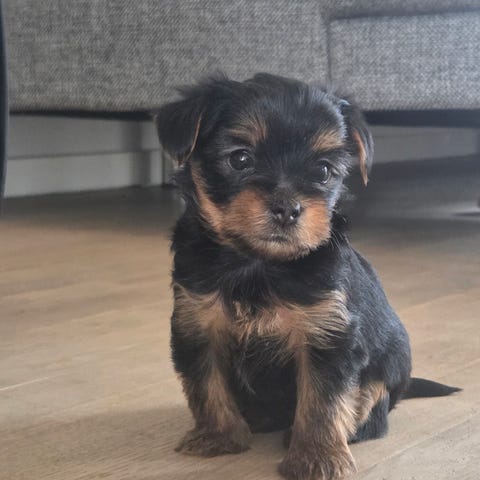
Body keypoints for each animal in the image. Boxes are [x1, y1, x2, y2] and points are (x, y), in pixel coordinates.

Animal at [154, 73, 460, 480]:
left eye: (324, 171)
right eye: (240, 159)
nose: (287, 208)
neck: (260, 262)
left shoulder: (326, 334)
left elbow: (322, 401)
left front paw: (317, 456)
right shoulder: (198, 321)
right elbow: (207, 383)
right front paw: (217, 436)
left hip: (385, 370)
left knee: (372, 405)